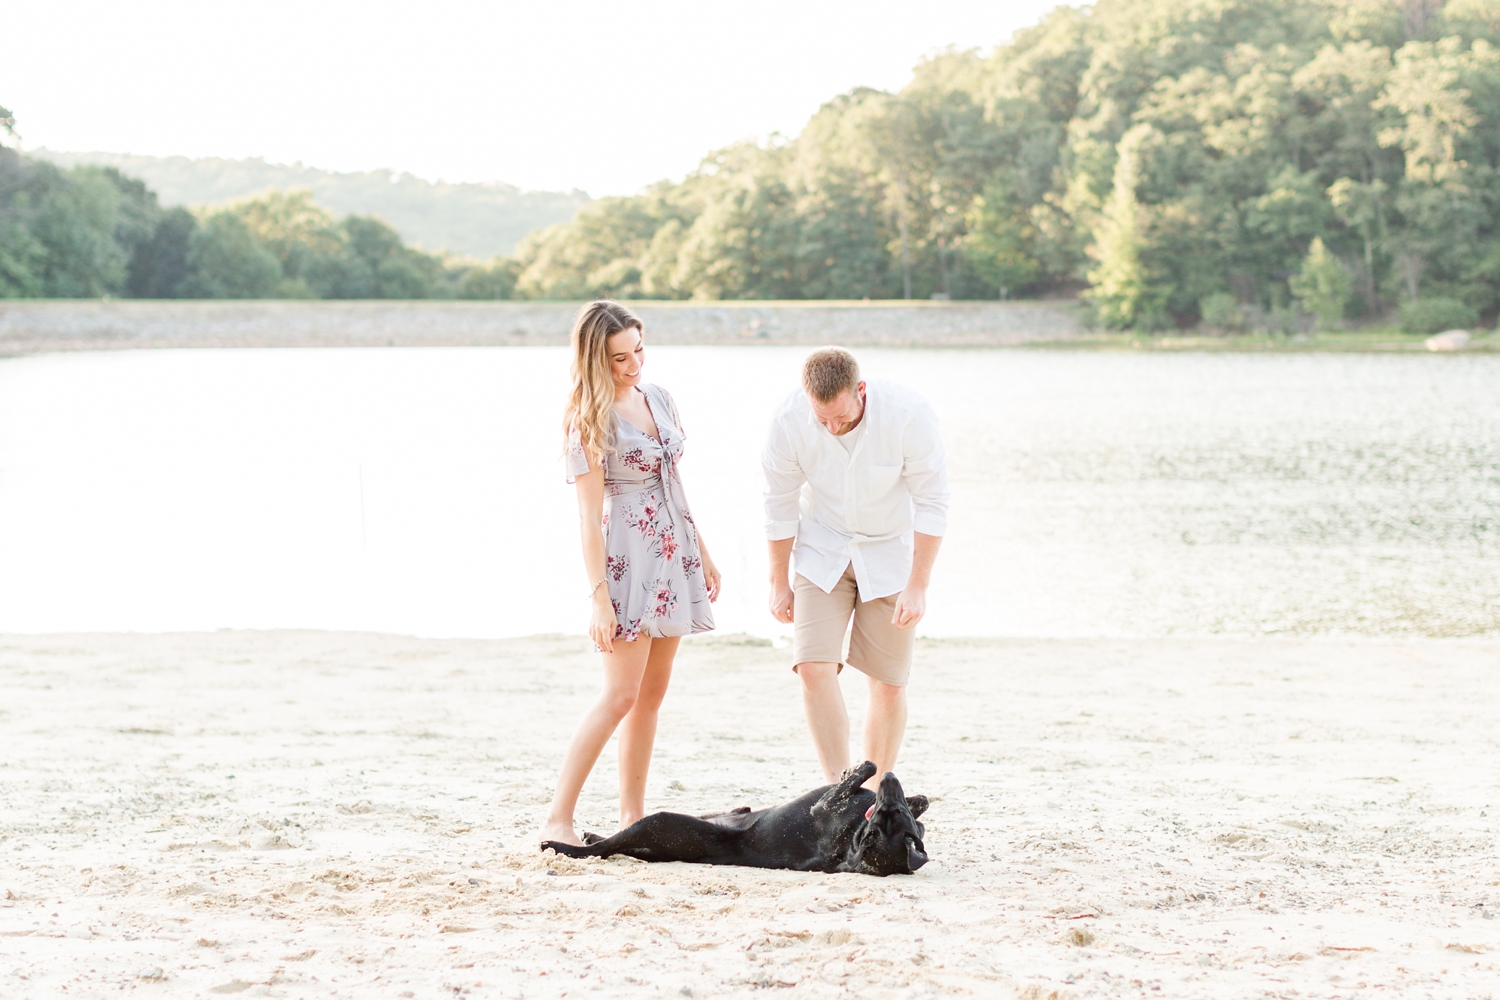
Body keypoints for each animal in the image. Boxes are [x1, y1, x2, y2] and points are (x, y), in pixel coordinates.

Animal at [540, 767, 924, 875]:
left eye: (892, 814)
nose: (891, 779)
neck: (854, 839)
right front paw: (919, 801)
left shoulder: (825, 805)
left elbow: (864, 768)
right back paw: (589, 835)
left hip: (659, 823)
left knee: (608, 847)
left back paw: (559, 845)